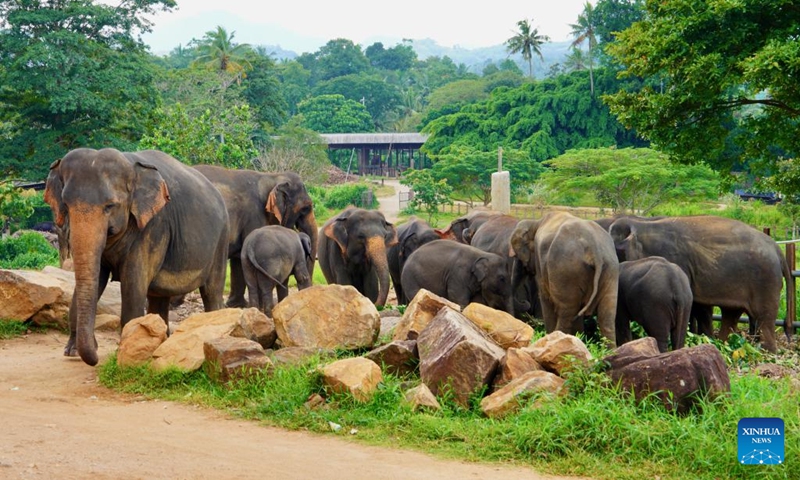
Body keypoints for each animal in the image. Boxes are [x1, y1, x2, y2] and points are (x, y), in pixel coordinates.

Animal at [44, 148, 229, 366]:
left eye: (110, 206)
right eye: (66, 204)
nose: (97, 356)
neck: (130, 164)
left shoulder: (153, 226)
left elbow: (133, 283)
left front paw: (125, 355)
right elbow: (97, 278)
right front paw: (72, 352)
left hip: (221, 241)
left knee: (212, 292)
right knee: (159, 297)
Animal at [510, 212, 619, 346]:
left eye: (517, 256)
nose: (525, 302)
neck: (535, 222)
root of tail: (595, 251)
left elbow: (545, 298)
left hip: (565, 270)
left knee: (567, 312)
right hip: (610, 270)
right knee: (606, 316)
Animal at [609, 215, 791, 353]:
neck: (640, 226)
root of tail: (777, 249)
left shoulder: (676, 260)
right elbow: (699, 307)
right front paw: (705, 339)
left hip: (765, 280)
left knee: (764, 317)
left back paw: (767, 352)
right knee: (731, 313)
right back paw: (722, 345)